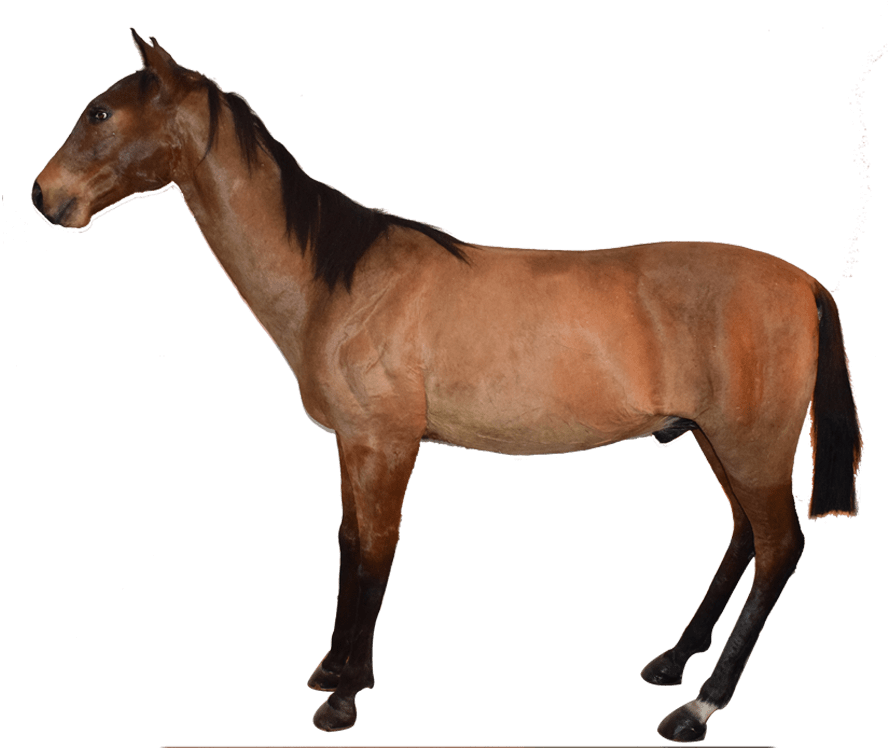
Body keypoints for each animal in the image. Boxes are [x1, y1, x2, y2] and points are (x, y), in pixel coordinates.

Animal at [32, 29, 862, 743]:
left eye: (100, 111)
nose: (43, 197)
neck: (342, 281)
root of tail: (806, 285)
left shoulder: (387, 443)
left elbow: (373, 555)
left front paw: (343, 696)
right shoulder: (357, 445)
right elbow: (349, 543)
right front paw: (333, 670)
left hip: (750, 445)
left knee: (777, 548)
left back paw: (698, 707)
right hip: (719, 443)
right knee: (743, 538)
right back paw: (670, 662)